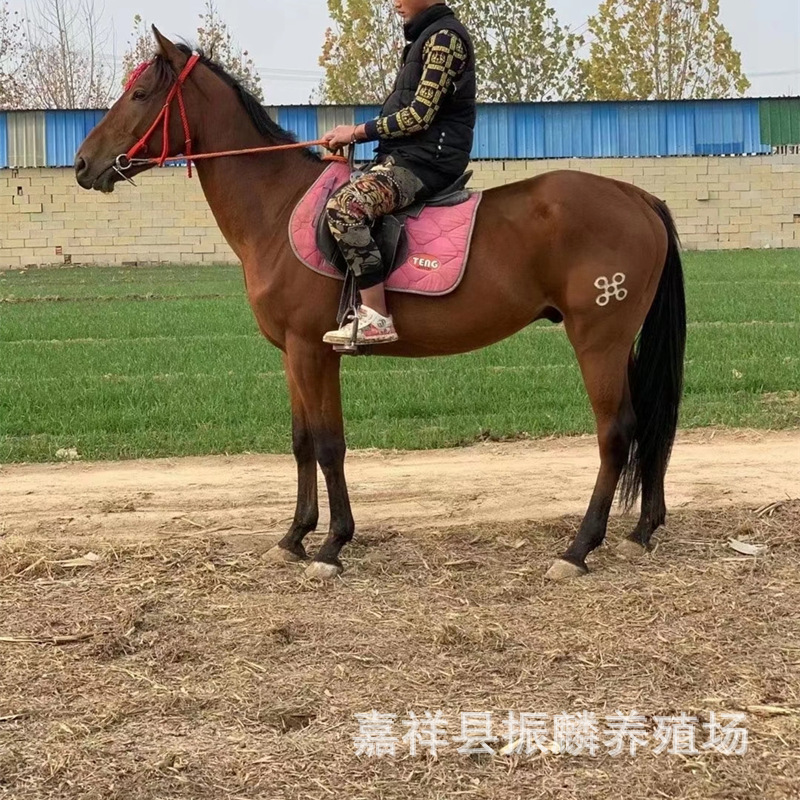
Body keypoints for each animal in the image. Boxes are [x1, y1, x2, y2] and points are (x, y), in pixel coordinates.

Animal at [75, 28, 686, 582]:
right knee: (645, 423)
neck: (278, 207)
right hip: (618, 342)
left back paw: (579, 549)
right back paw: (640, 531)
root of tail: (637, 196)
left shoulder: (311, 352)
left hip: (598, 340)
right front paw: (294, 537)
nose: (82, 164)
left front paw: (331, 546)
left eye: (139, 94)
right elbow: (302, 442)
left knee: (615, 432)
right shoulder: (296, 355)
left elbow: (328, 446)